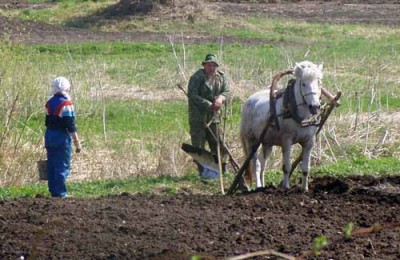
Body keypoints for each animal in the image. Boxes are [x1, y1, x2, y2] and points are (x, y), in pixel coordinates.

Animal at [239, 60, 324, 191]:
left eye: (319, 82)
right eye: (303, 84)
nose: (314, 107)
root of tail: (249, 100)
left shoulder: (309, 142)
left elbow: (306, 168)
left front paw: (304, 188)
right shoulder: (287, 140)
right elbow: (286, 166)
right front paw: (286, 187)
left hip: (267, 143)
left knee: (263, 163)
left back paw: (263, 186)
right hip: (252, 141)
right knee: (256, 164)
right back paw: (258, 186)